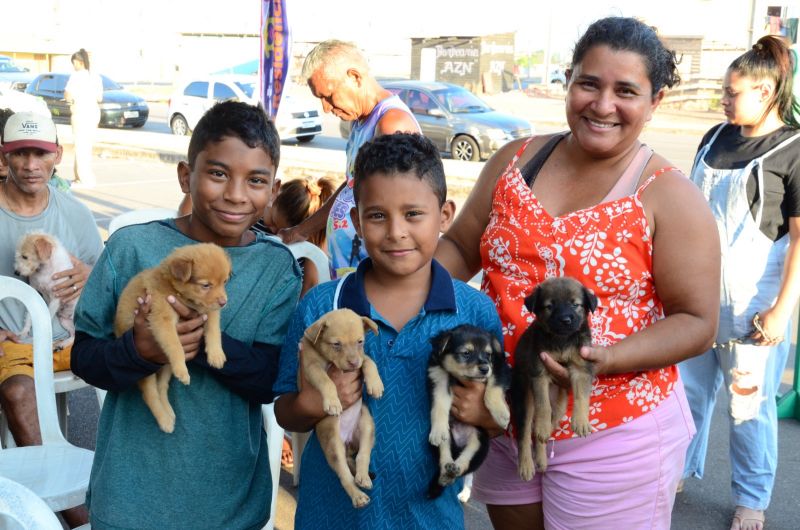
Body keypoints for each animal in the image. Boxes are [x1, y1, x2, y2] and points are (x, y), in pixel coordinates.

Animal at [115, 241, 234, 432]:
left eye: (224, 282)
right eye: (205, 285)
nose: (224, 302)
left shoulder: (209, 310)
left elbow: (214, 330)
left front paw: (216, 354)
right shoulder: (162, 319)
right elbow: (175, 345)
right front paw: (182, 368)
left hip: (165, 367)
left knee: (162, 386)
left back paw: (169, 412)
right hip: (145, 367)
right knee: (150, 393)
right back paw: (164, 420)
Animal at [304, 308, 384, 506]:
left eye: (360, 342)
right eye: (336, 344)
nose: (353, 363)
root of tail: (347, 443)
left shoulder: (362, 357)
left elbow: (369, 361)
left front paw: (375, 384)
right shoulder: (311, 367)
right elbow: (327, 380)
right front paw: (333, 402)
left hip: (366, 423)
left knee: (363, 456)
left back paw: (363, 477)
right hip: (333, 445)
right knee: (345, 476)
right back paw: (358, 496)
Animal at [424, 324, 512, 498]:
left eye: (488, 354)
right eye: (466, 353)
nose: (484, 368)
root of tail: (459, 444)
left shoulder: (499, 368)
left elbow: (493, 388)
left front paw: (502, 415)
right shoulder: (439, 377)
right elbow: (439, 406)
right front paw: (437, 431)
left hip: (480, 443)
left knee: (465, 463)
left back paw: (453, 470)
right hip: (450, 439)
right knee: (445, 456)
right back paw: (446, 472)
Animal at [512, 276, 592, 478]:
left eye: (575, 304)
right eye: (550, 306)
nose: (566, 320)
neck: (562, 340)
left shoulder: (581, 367)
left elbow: (581, 397)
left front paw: (581, 421)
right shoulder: (539, 372)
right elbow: (543, 406)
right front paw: (542, 425)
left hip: (560, 408)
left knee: (540, 436)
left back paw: (541, 459)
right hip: (524, 401)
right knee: (526, 434)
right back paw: (526, 465)